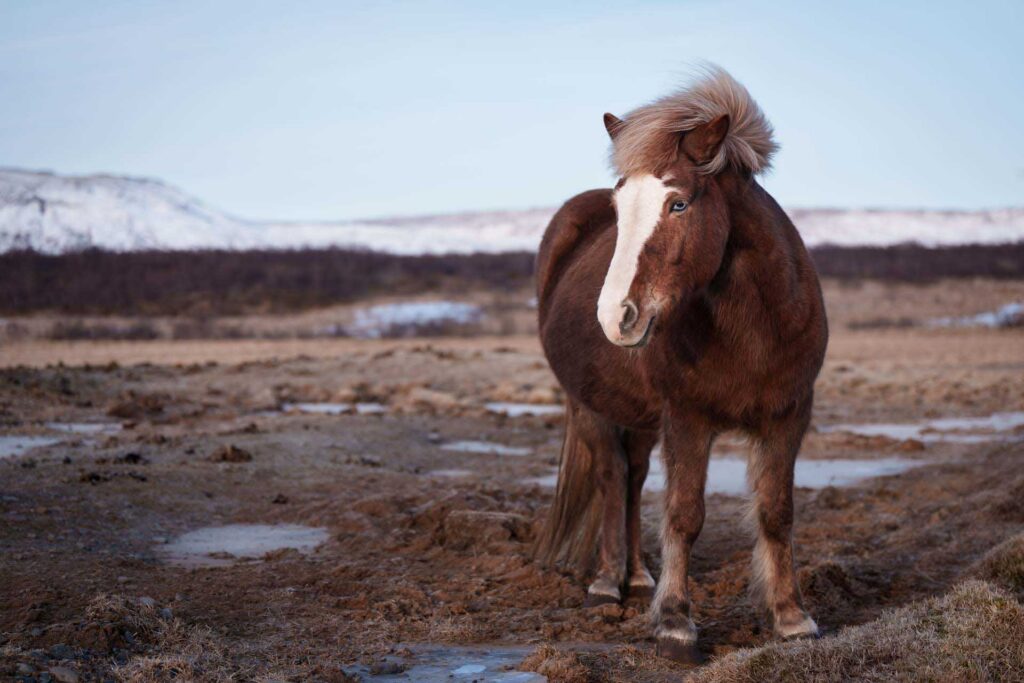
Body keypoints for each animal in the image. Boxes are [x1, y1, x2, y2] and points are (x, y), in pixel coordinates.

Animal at [533, 66, 828, 663]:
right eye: (619, 210)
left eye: (679, 205)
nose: (615, 316)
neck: (753, 332)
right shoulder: (688, 419)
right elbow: (685, 515)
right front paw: (674, 625)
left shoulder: (788, 416)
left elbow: (776, 511)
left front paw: (791, 618)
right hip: (591, 405)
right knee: (612, 476)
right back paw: (607, 584)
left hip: (642, 418)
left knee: (633, 477)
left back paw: (637, 577)